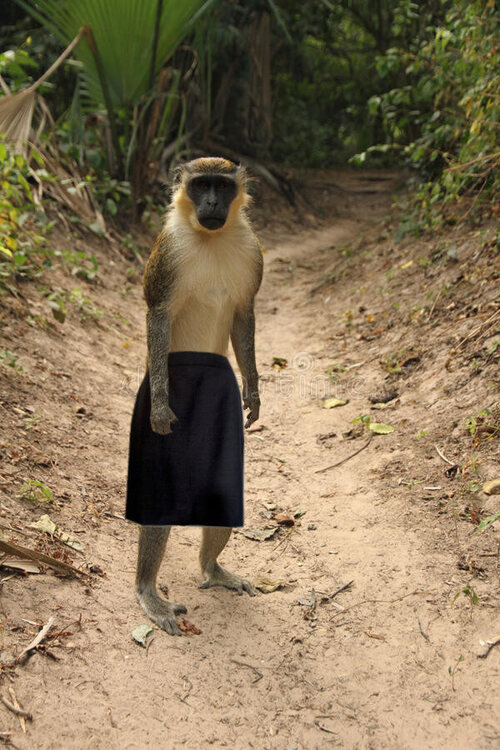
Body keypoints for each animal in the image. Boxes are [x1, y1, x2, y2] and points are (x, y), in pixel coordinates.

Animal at [126, 157, 263, 635]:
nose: (211, 204)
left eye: (221, 187)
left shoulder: (252, 252)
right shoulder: (167, 253)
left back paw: (212, 568)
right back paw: (148, 591)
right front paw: (161, 407)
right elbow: (157, 314)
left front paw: (253, 393)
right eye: (201, 185)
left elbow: (243, 314)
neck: (210, 237)